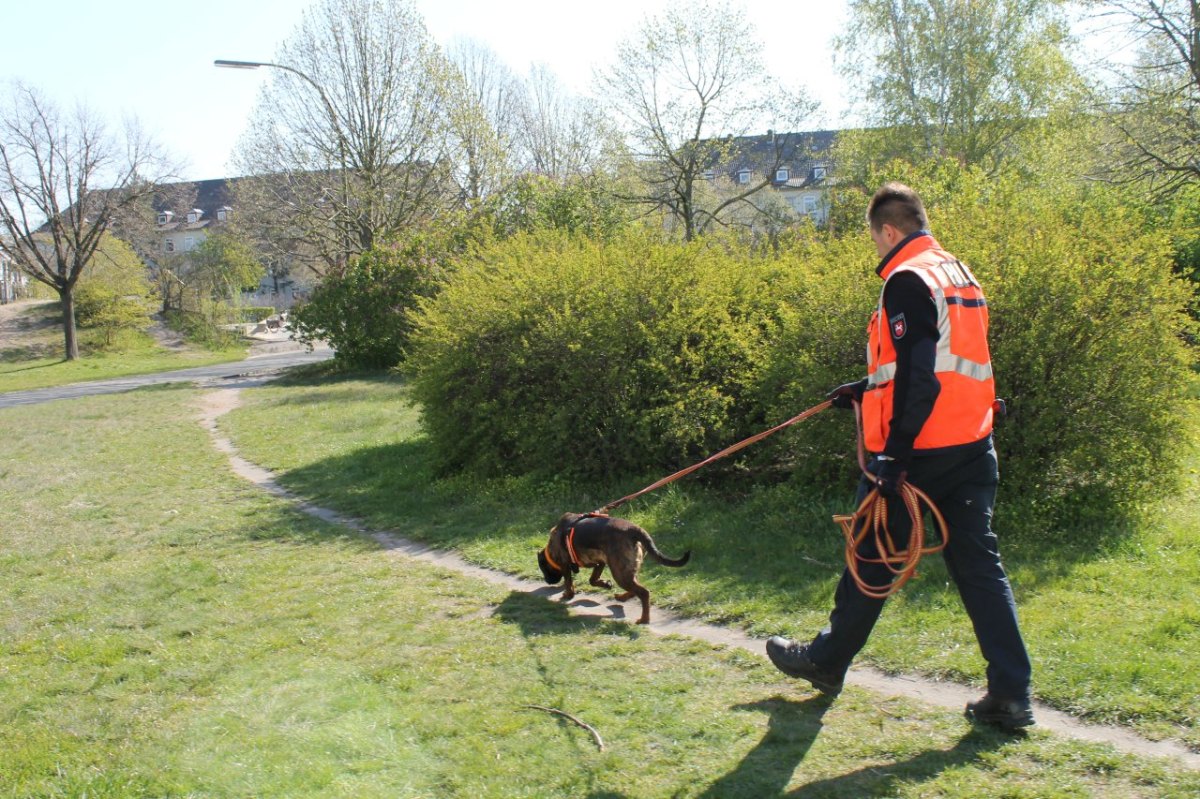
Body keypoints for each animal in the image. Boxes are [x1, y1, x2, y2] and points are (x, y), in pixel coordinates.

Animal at [537, 511, 696, 623]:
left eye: (544, 569)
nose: (547, 581)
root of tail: (633, 529)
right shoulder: (600, 563)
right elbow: (592, 580)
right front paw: (605, 584)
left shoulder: (565, 564)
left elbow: (569, 582)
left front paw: (567, 594)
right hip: (625, 569)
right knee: (635, 589)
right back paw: (622, 597)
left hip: (619, 572)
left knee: (644, 592)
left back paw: (644, 619)